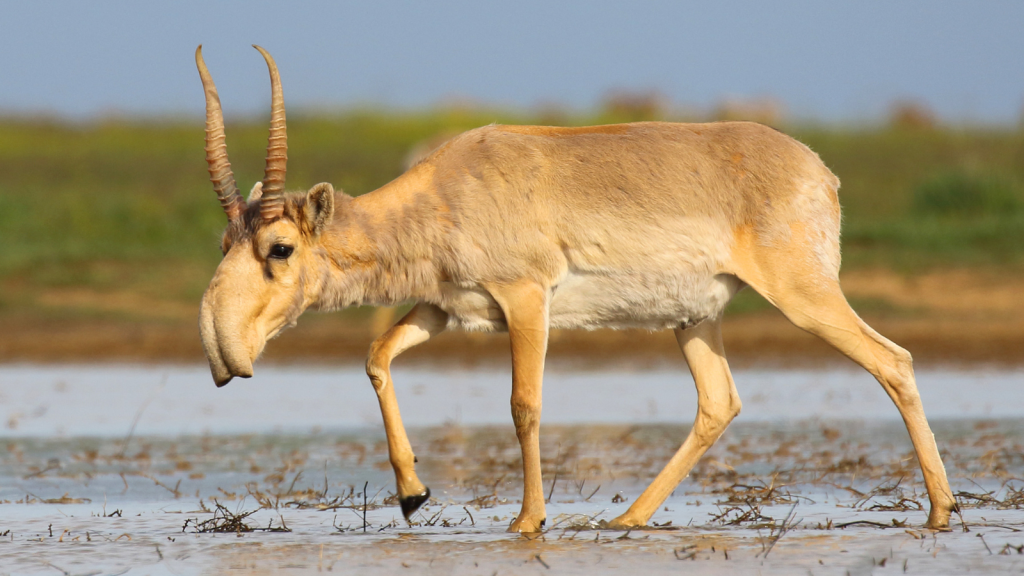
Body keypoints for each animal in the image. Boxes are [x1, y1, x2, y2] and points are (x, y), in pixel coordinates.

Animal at [195, 47, 954, 532]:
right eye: (225, 242)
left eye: (280, 248)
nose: (221, 351)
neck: (446, 189)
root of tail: (818, 170)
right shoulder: (445, 308)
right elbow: (377, 356)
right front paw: (413, 495)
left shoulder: (526, 300)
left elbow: (524, 405)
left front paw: (528, 521)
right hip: (693, 319)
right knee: (719, 402)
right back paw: (627, 518)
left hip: (803, 296)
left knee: (893, 361)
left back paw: (943, 509)